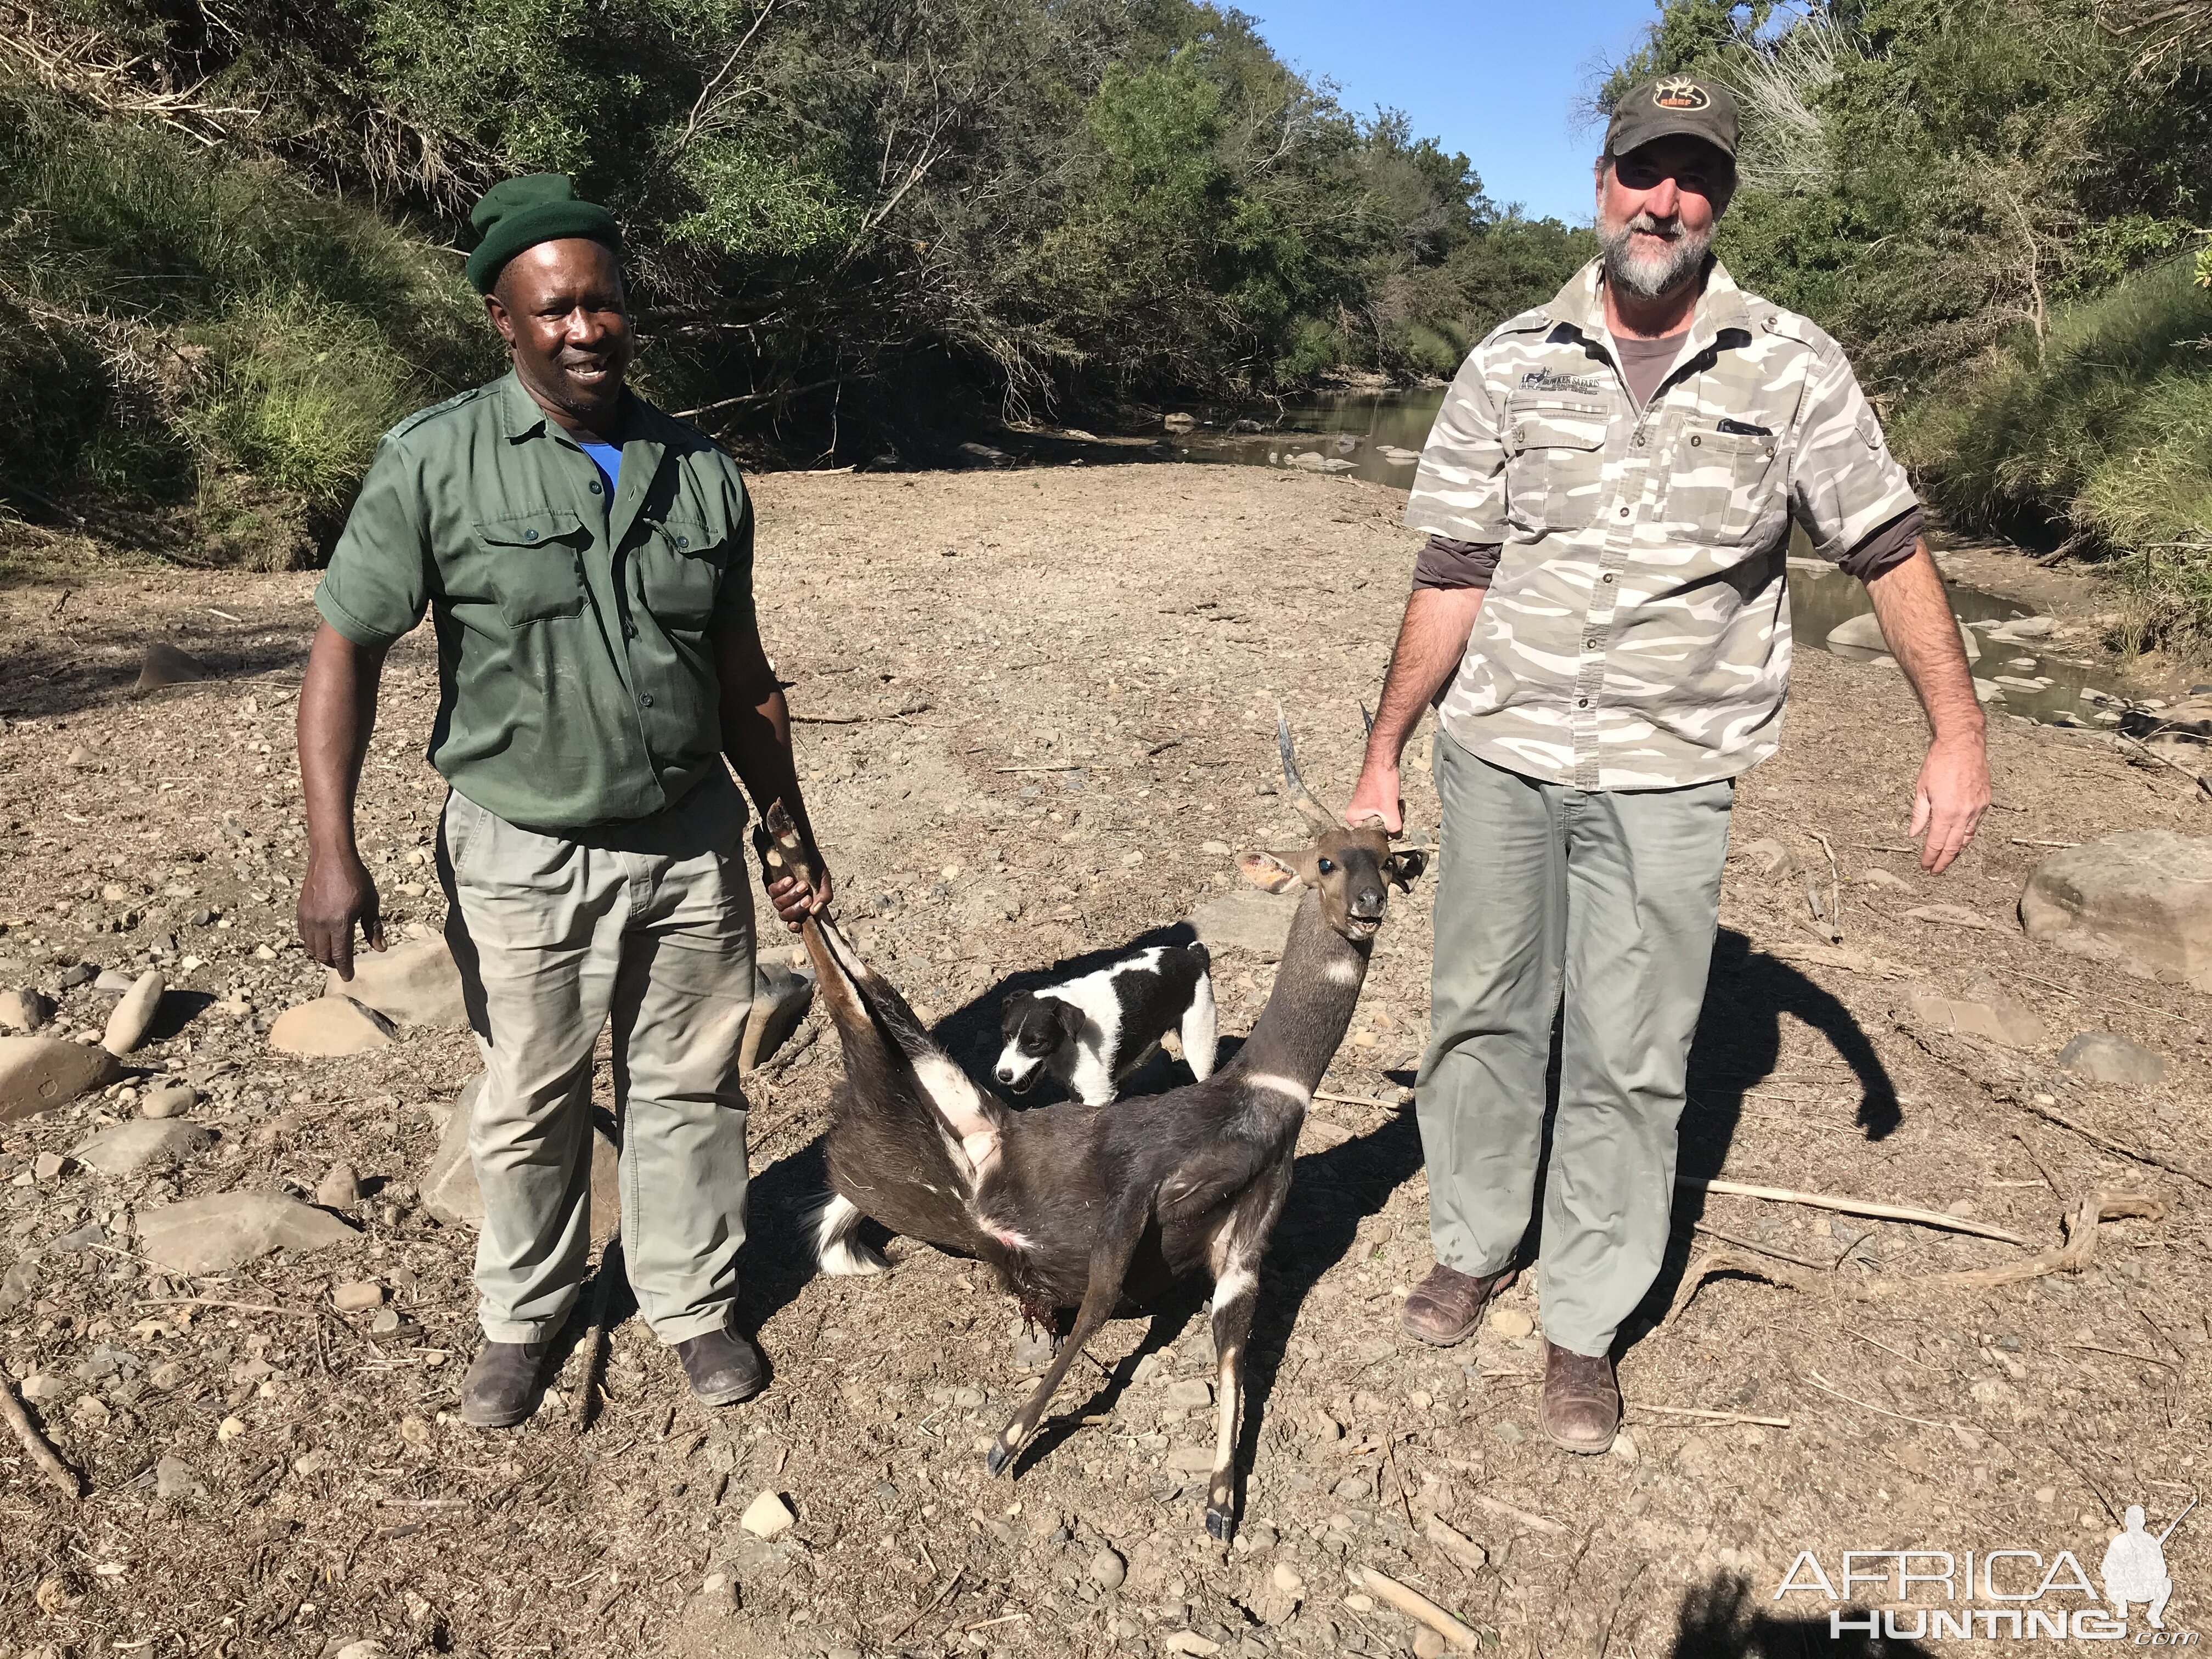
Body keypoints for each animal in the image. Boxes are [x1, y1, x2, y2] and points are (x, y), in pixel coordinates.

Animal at [995, 942, 1221, 1110]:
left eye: (1036, 1043)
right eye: (1005, 1035)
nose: (1003, 1075)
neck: (1073, 1040)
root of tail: (1194, 957)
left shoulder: (1097, 1096)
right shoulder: (1076, 1089)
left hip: (1199, 1045)